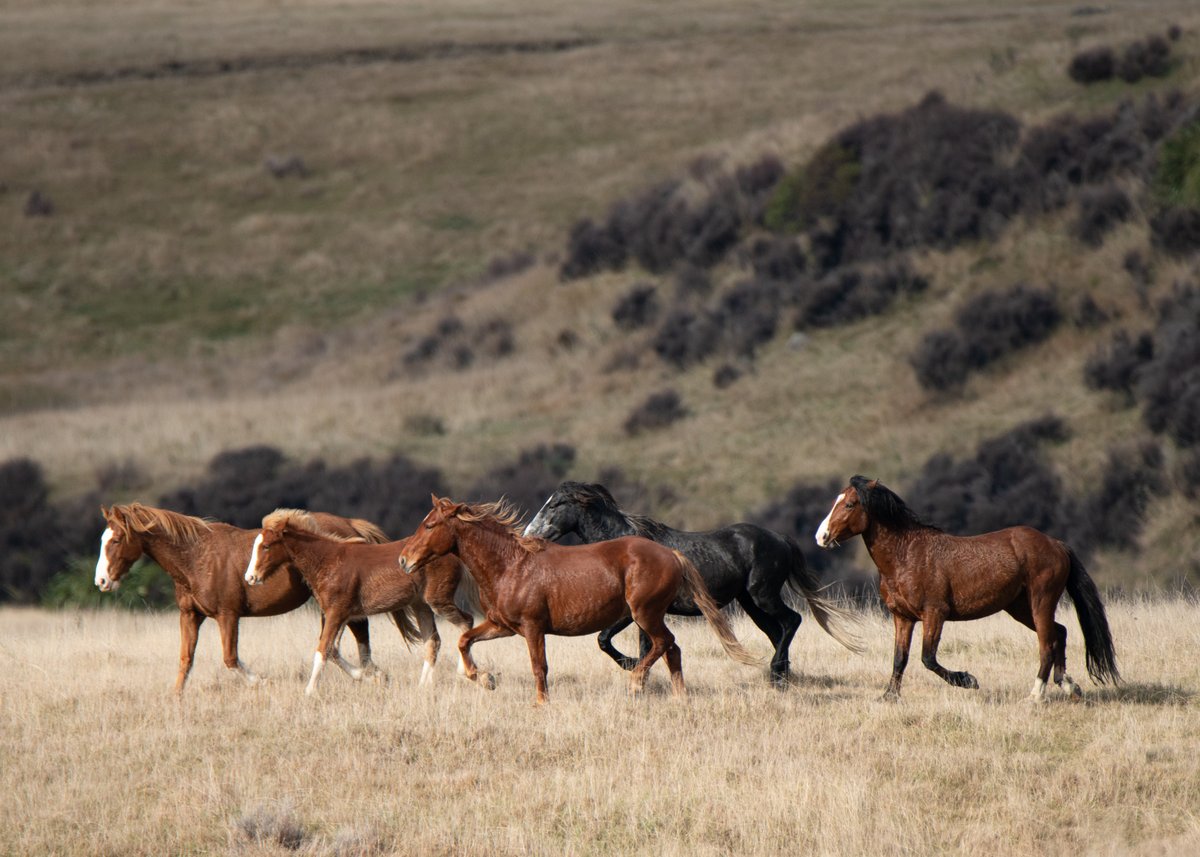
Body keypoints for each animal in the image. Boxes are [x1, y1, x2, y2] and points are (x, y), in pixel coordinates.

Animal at [94, 504, 384, 691]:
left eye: (116, 540)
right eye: (103, 538)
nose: (102, 581)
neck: (196, 557)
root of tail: (350, 524)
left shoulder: (227, 615)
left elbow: (230, 659)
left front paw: (263, 682)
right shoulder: (190, 615)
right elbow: (185, 661)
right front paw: (175, 699)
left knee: (344, 640)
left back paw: (370, 675)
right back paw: (371, 674)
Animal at [243, 506, 472, 696]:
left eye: (267, 546)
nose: (250, 577)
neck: (328, 561)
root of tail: (454, 553)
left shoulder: (336, 613)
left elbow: (322, 649)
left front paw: (309, 690)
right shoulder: (341, 615)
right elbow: (333, 650)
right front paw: (373, 677)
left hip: (438, 601)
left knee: (466, 621)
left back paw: (466, 673)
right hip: (421, 605)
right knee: (433, 641)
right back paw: (424, 685)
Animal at [403, 489, 758, 705]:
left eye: (429, 525)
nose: (404, 560)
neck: (511, 565)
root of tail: (670, 554)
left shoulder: (533, 627)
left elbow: (539, 667)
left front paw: (541, 704)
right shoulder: (503, 625)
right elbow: (465, 641)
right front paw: (485, 679)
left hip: (645, 613)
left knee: (663, 643)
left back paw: (636, 683)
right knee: (673, 649)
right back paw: (678, 697)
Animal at [525, 480, 864, 681]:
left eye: (555, 504)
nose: (529, 534)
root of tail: (780, 538)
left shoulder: (631, 612)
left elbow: (605, 640)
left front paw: (633, 668)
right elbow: (636, 644)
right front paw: (641, 675)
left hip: (763, 595)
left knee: (792, 621)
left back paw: (775, 672)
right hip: (751, 603)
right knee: (777, 631)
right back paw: (780, 676)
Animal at [811, 472, 1118, 700]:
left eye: (850, 504)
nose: (821, 536)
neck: (907, 555)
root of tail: (1056, 544)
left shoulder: (935, 614)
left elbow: (928, 658)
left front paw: (968, 680)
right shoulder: (903, 617)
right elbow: (900, 658)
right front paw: (889, 696)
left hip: (1041, 602)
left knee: (1047, 643)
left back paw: (1035, 695)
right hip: (1019, 607)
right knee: (1060, 633)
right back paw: (1068, 685)